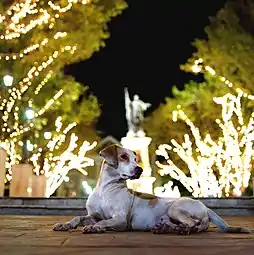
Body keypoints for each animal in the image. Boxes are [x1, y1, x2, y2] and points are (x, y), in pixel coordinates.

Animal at [53, 143, 250, 235]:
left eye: (135, 158)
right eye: (123, 157)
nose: (139, 170)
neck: (105, 190)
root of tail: (207, 208)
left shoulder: (120, 220)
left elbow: (103, 223)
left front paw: (95, 228)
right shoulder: (92, 215)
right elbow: (78, 217)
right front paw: (65, 224)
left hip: (175, 208)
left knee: (193, 225)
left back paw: (178, 230)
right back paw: (165, 228)